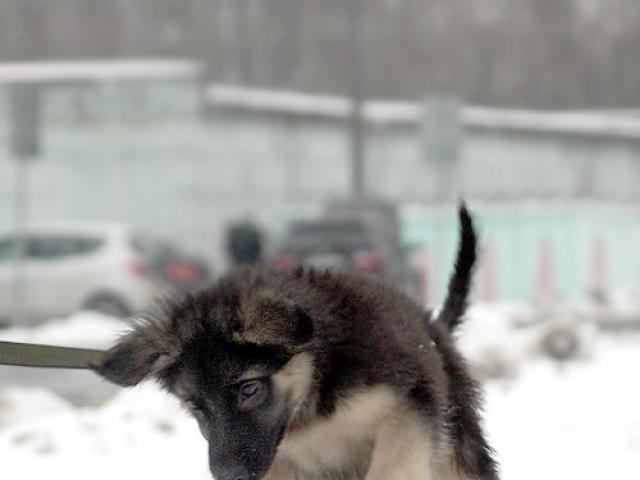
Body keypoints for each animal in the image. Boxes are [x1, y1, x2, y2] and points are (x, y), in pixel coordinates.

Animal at [94, 205, 500, 480]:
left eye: (249, 389)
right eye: (195, 405)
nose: (229, 477)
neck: (311, 408)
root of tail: (434, 326)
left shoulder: (409, 410)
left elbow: (393, 465)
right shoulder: (280, 462)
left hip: (456, 445)